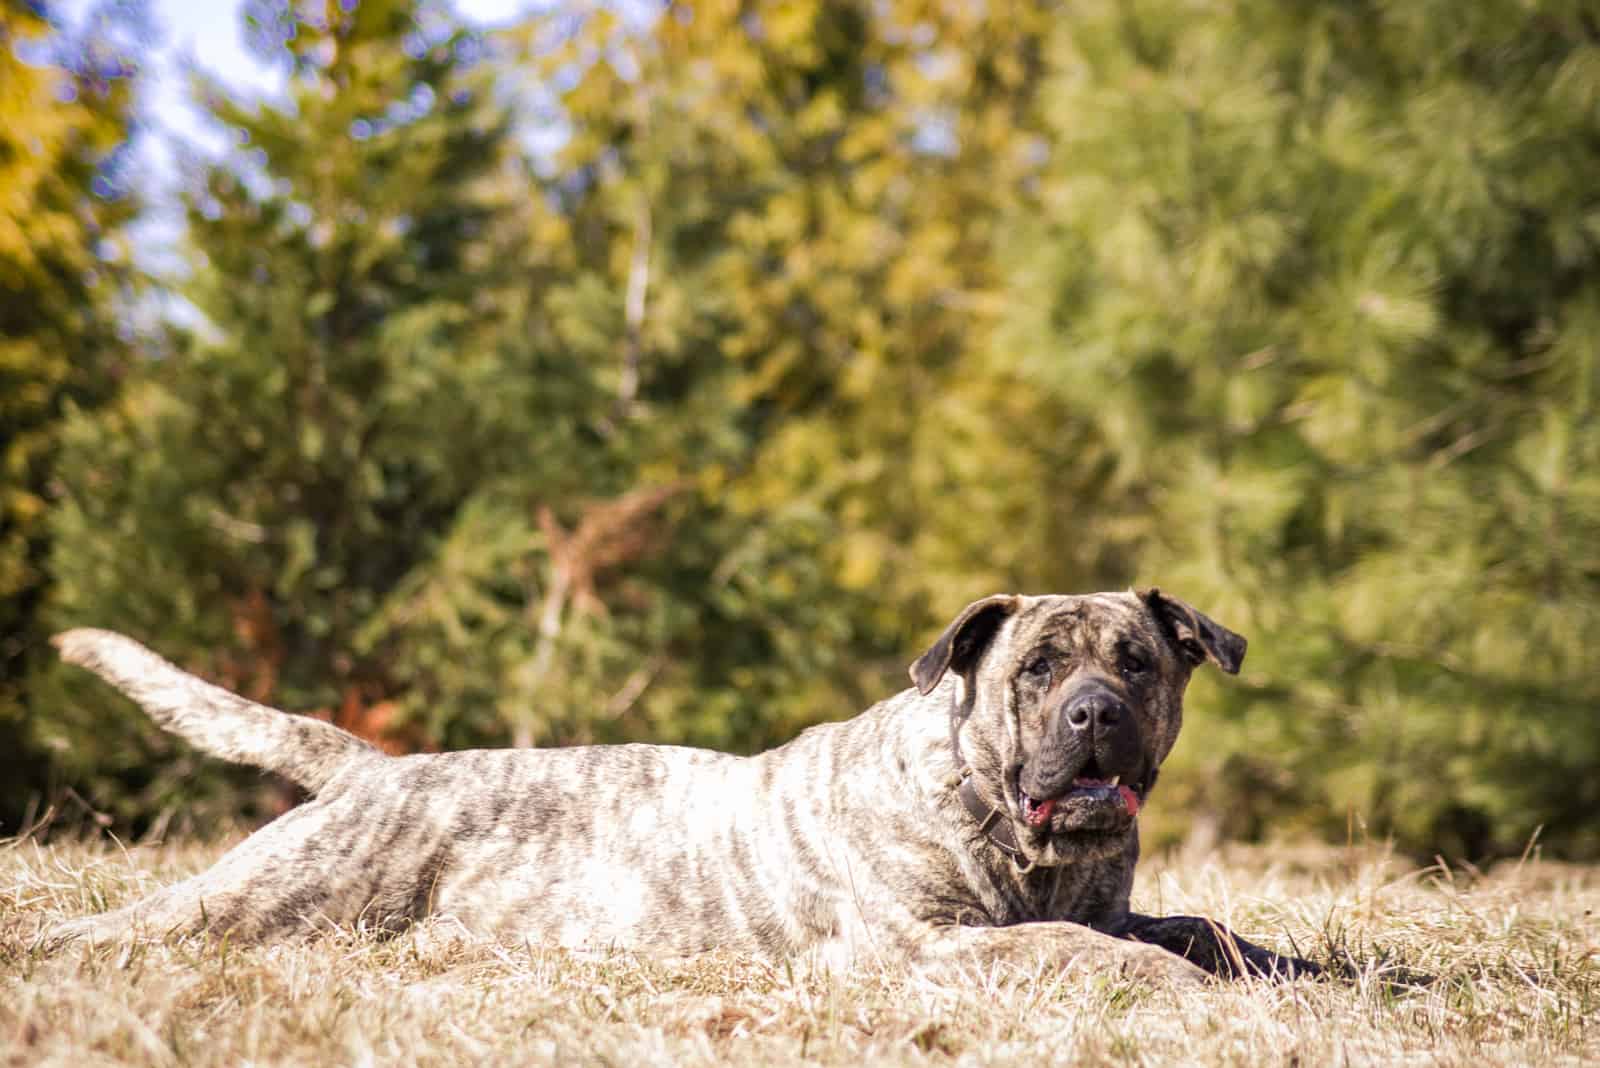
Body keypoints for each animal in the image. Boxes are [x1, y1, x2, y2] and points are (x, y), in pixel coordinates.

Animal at [46, 588, 1324, 978]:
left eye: (1138, 663)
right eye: (1038, 669)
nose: (1094, 714)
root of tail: (379, 767)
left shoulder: (1121, 903)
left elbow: (1202, 926)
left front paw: (1300, 967)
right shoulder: (929, 942)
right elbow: (1085, 948)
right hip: (255, 899)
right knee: (139, 920)